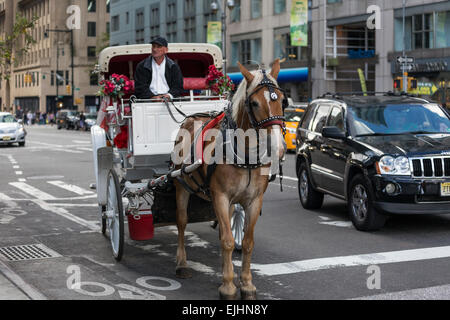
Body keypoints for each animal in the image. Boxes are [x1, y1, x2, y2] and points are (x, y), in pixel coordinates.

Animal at [171, 58, 284, 300]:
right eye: (254, 103)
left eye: (283, 100)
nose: (278, 147)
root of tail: (190, 118)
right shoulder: (220, 196)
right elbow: (227, 241)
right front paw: (229, 287)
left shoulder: (253, 200)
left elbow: (246, 242)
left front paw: (246, 284)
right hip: (181, 185)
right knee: (182, 222)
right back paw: (182, 263)